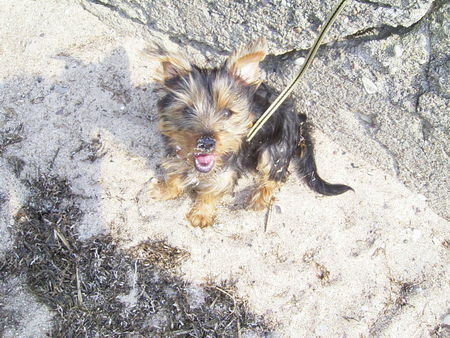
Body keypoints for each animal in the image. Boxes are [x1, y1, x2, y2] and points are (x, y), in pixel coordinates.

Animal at [151, 39, 352, 228]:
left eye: (227, 113)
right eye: (186, 110)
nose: (205, 143)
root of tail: (299, 122)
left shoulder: (226, 172)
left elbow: (211, 192)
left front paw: (201, 213)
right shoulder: (176, 153)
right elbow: (174, 176)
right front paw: (165, 190)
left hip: (275, 149)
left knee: (276, 175)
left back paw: (260, 197)